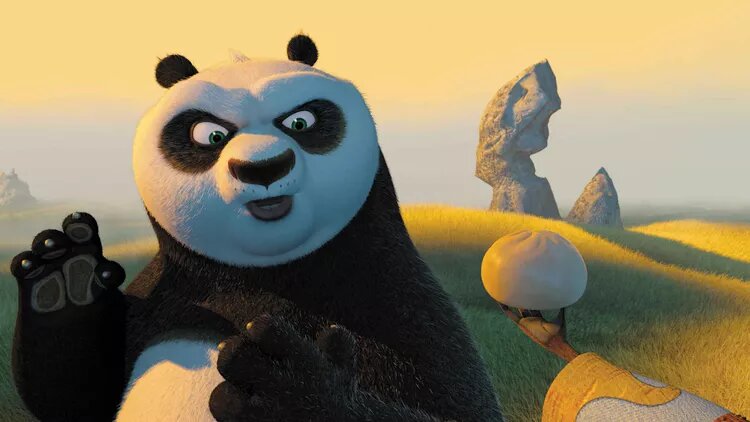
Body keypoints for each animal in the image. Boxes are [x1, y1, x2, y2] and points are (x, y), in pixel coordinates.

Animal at [10, 35, 503, 421]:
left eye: (300, 122)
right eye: (209, 135)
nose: (263, 167)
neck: (265, 274)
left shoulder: (397, 303)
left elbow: (459, 409)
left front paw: (284, 389)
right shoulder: (164, 297)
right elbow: (75, 396)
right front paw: (64, 279)